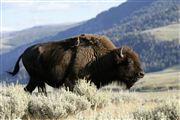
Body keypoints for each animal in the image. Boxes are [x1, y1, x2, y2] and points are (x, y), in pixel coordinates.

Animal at [7, 33, 144, 94]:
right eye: (128, 61)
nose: (141, 74)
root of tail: (24, 53)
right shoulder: (71, 81)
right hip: (37, 79)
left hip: (36, 80)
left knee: (29, 89)